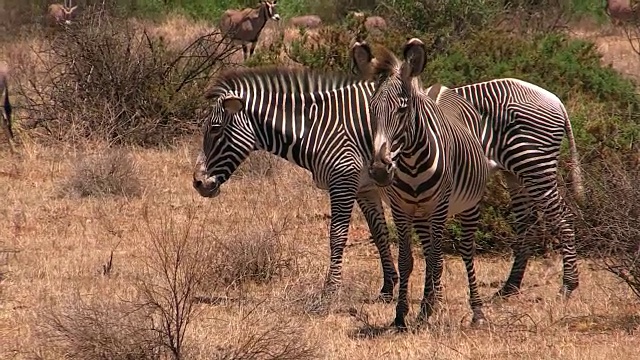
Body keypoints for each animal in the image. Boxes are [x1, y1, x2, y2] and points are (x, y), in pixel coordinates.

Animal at [190, 65, 398, 304]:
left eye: (215, 129)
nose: (198, 182)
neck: (319, 127)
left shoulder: (343, 181)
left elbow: (337, 235)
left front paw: (331, 290)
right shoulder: (365, 188)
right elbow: (379, 233)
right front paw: (388, 287)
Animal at [350, 38, 490, 330]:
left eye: (402, 109)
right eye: (371, 110)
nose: (379, 170)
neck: (412, 162)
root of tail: (440, 89)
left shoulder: (439, 206)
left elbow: (437, 258)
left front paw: (429, 308)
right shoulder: (401, 209)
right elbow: (407, 260)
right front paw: (401, 315)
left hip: (467, 206)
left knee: (465, 252)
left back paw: (476, 312)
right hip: (422, 213)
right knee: (428, 251)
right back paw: (427, 305)